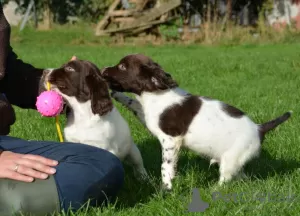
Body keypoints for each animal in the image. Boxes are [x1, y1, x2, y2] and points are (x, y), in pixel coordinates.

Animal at [100, 54, 290, 191]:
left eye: (123, 67)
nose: (102, 70)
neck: (155, 94)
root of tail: (260, 128)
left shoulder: (171, 139)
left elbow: (166, 166)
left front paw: (166, 188)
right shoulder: (147, 115)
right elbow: (133, 103)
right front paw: (116, 94)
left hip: (231, 159)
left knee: (226, 179)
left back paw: (213, 191)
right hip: (237, 161)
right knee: (241, 177)